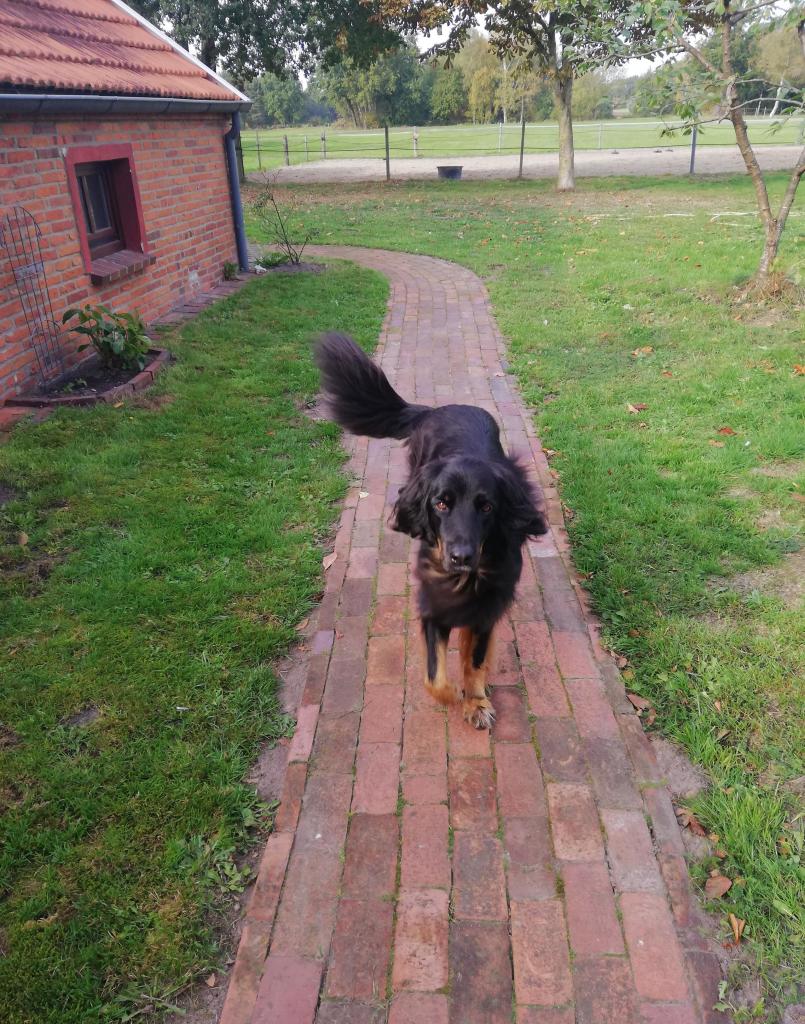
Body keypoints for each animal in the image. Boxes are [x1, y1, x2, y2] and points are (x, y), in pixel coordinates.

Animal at [313, 335, 544, 729]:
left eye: (487, 507)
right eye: (441, 504)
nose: (460, 556)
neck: (466, 578)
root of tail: (434, 409)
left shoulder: (486, 609)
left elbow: (474, 659)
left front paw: (476, 700)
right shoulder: (433, 606)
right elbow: (434, 677)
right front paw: (456, 696)